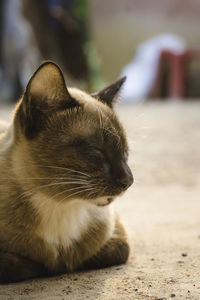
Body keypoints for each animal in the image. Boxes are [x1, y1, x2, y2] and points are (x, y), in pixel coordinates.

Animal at [0, 61, 134, 284]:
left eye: (125, 153)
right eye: (96, 150)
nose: (129, 181)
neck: (58, 205)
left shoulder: (116, 232)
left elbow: (114, 252)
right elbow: (23, 265)